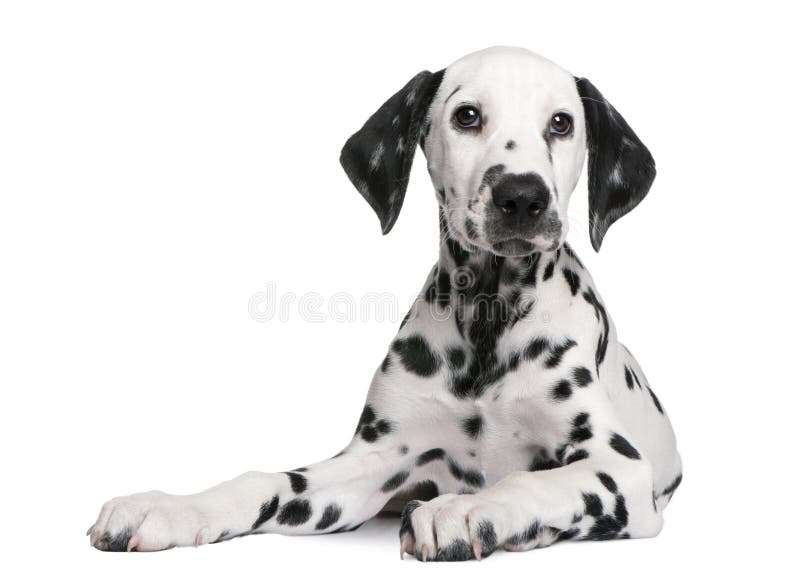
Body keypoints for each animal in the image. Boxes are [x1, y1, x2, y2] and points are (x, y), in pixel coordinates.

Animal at [92, 46, 680, 560]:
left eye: (561, 123)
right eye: (467, 115)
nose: (521, 197)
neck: (488, 318)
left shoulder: (620, 467)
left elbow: (528, 481)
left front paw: (465, 510)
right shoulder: (372, 461)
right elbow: (266, 480)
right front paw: (170, 508)